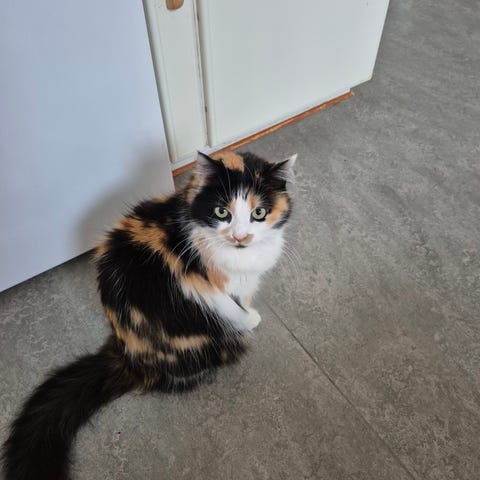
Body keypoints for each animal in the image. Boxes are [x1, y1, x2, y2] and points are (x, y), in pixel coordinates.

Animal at [2, 150, 296, 480]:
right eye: (222, 212)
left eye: (259, 213)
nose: (240, 237)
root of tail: (128, 354)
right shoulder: (218, 290)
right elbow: (236, 308)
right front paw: (250, 319)